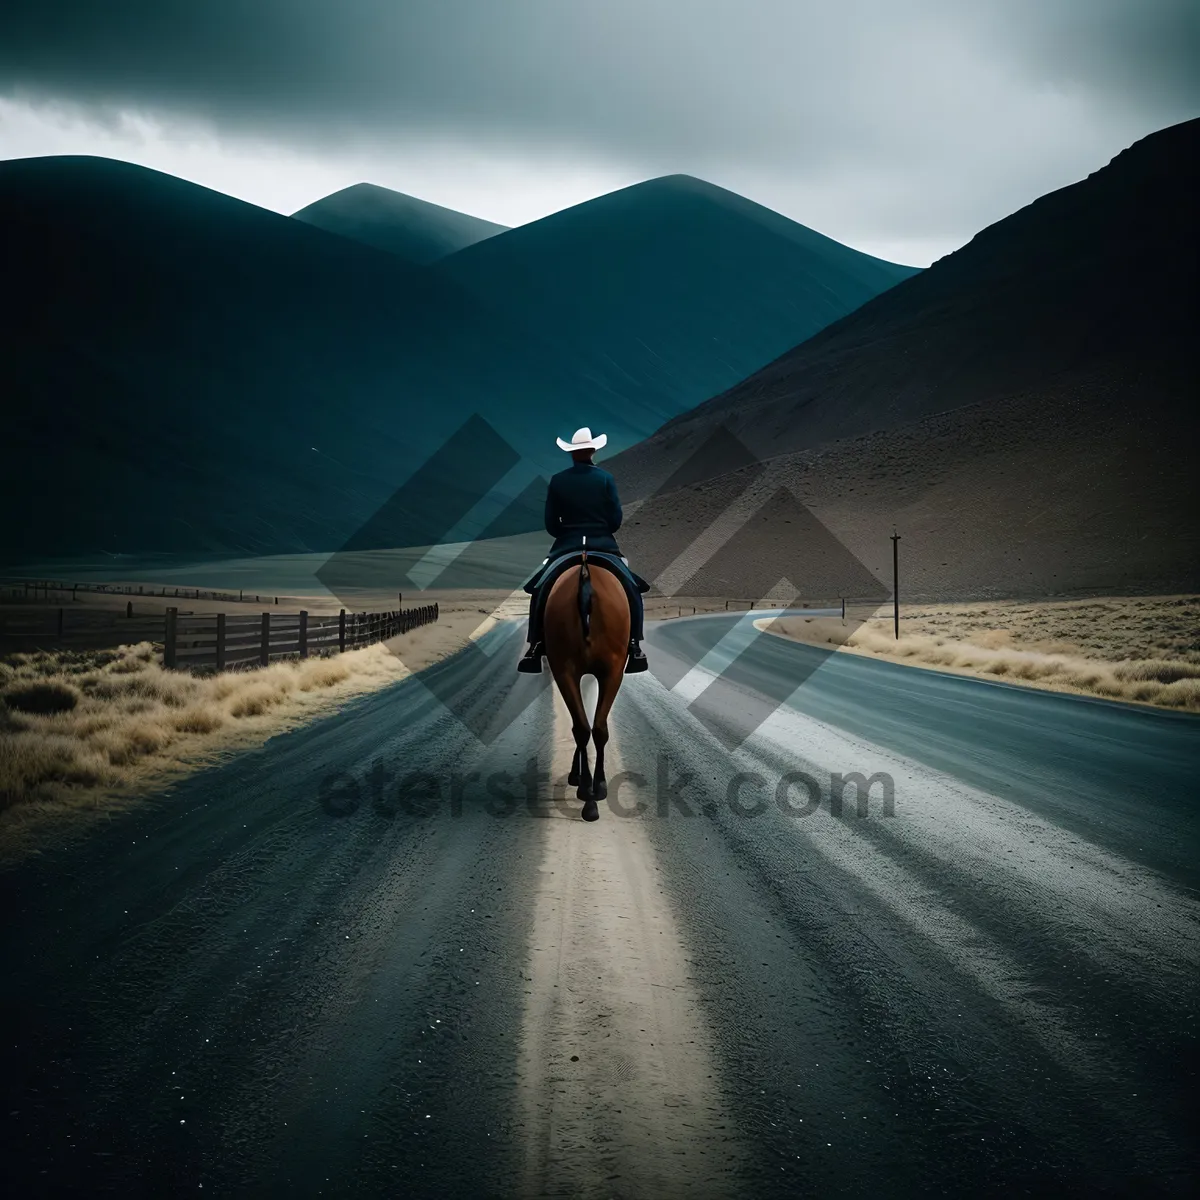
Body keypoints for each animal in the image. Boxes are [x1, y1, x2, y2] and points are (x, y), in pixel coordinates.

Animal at [542, 549, 633, 820]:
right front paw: (587, 781)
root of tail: (585, 572)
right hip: (602, 672)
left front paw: (582, 778)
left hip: (575, 671)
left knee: (588, 727)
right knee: (592, 728)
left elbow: (587, 721)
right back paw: (591, 792)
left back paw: (589, 791)